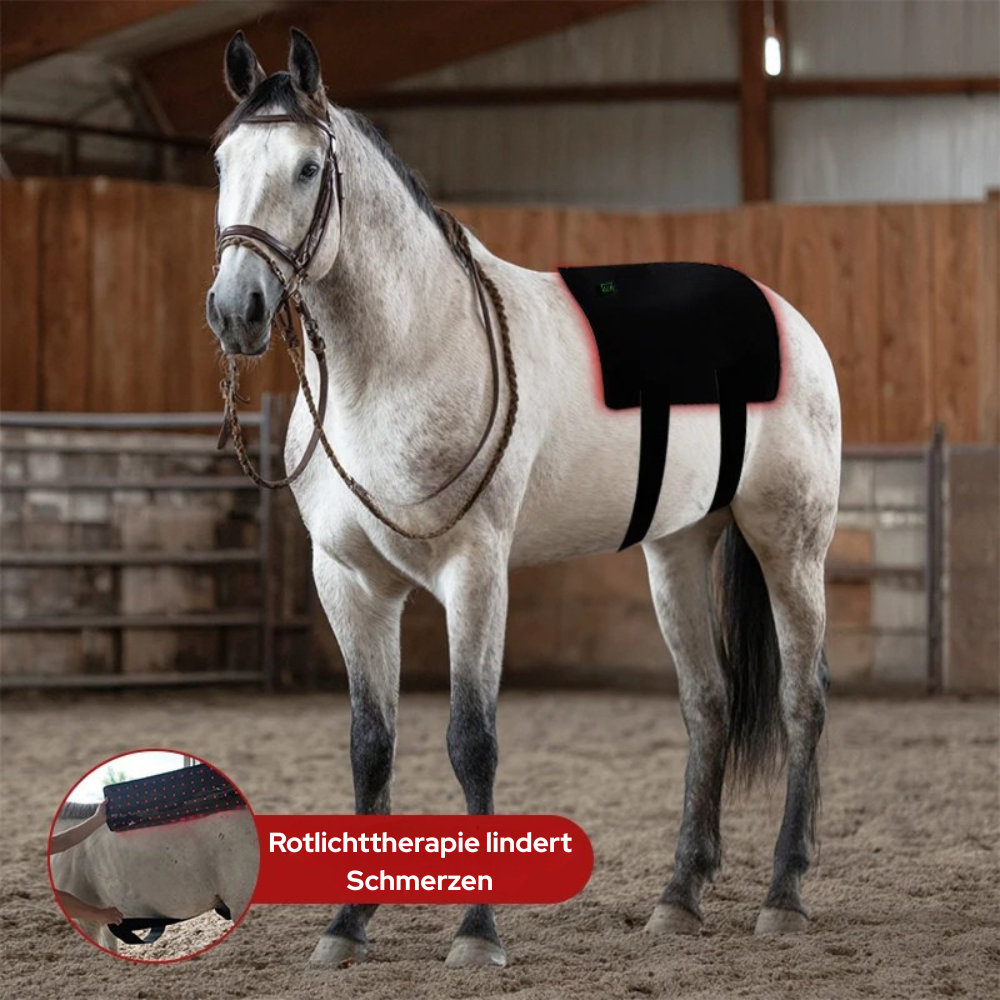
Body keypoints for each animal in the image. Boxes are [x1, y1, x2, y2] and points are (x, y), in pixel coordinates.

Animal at [207, 29, 841, 970]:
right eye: (222, 162)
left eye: (307, 169)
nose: (236, 309)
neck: (401, 358)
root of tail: (781, 316)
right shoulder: (350, 583)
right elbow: (370, 746)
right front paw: (346, 927)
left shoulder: (475, 572)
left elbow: (472, 740)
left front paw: (477, 932)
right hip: (678, 551)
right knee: (709, 705)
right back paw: (679, 898)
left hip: (789, 545)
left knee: (803, 701)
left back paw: (785, 896)